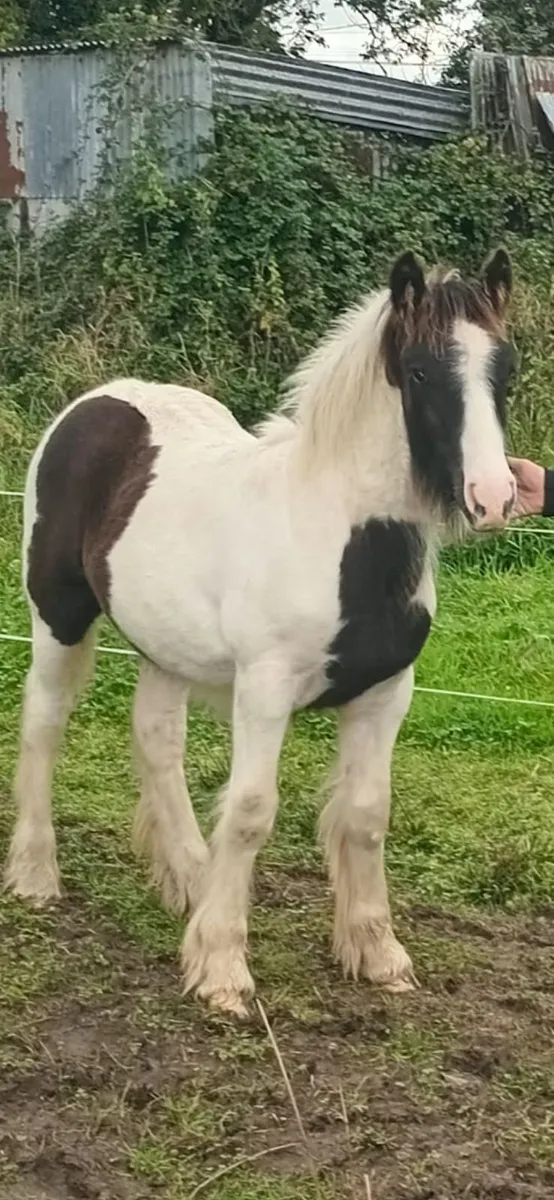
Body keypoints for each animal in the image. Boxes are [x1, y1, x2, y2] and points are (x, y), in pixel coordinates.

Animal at [4, 249, 516, 1015]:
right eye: (421, 371)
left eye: (506, 368)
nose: (494, 498)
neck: (341, 536)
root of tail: (99, 401)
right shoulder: (265, 689)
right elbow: (250, 811)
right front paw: (221, 969)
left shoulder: (387, 694)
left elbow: (367, 813)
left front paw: (379, 953)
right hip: (56, 616)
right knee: (44, 723)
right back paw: (36, 874)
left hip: (167, 645)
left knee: (157, 739)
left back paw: (190, 877)